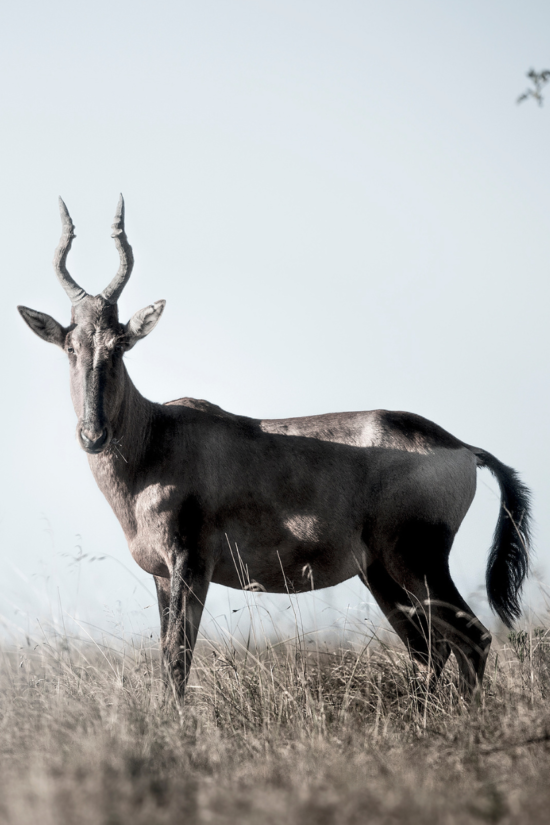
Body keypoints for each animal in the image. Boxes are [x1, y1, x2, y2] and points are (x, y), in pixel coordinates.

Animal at [19, 196, 532, 700]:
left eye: (120, 344)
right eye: (71, 346)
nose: (93, 435)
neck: (157, 438)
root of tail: (463, 447)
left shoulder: (190, 567)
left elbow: (177, 664)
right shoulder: (162, 576)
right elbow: (168, 665)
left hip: (418, 561)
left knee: (473, 640)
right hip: (381, 573)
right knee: (430, 650)